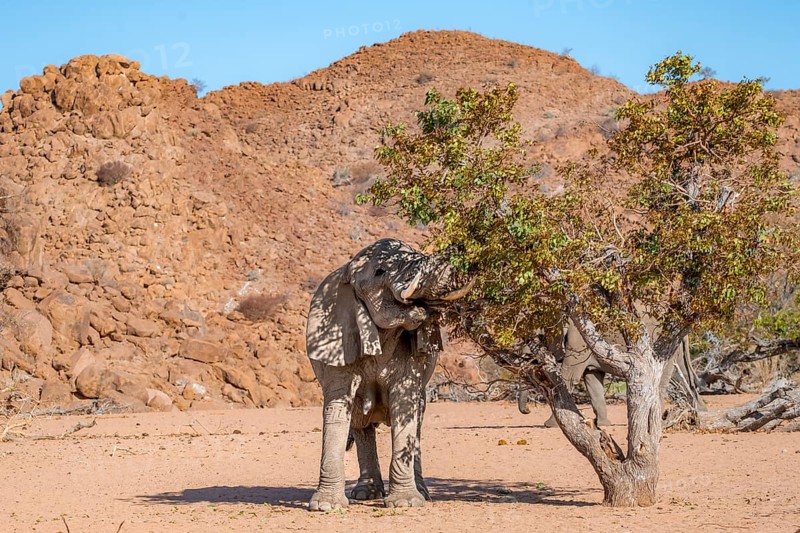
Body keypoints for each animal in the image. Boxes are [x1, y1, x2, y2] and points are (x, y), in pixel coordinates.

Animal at [305, 238, 471, 511]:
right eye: (379, 271)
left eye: (415, 253)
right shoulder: (340, 341)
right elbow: (338, 408)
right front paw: (326, 507)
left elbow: (404, 405)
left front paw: (405, 504)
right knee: (361, 424)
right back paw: (365, 493)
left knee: (416, 420)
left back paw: (421, 493)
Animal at [517, 319, 707, 427]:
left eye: (538, 335)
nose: (528, 411)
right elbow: (592, 380)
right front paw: (603, 424)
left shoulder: (579, 340)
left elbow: (569, 377)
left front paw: (550, 424)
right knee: (682, 376)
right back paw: (700, 412)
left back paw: (658, 421)